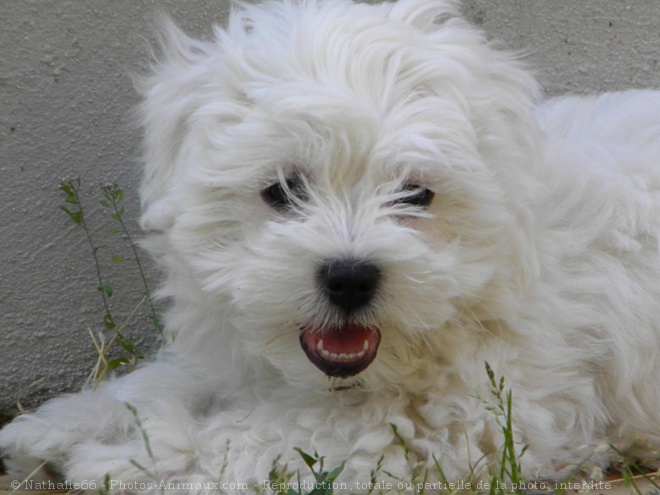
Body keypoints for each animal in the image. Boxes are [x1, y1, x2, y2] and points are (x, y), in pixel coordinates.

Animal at [1, 0, 660, 494]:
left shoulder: (470, 420)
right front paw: (56, 428)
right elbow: (163, 383)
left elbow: (267, 437)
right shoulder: (230, 352)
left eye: (415, 194)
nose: (349, 277)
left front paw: (129, 460)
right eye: (283, 190)